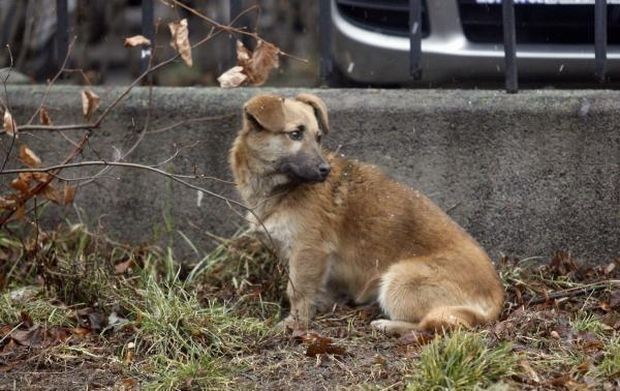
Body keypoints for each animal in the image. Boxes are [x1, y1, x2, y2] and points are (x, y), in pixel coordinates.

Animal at [228, 93, 504, 336]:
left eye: (318, 137)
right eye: (295, 134)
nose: (325, 170)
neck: (280, 188)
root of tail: (497, 297)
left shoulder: (308, 251)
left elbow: (298, 292)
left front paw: (295, 324)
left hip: (398, 281)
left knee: (435, 324)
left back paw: (389, 325)